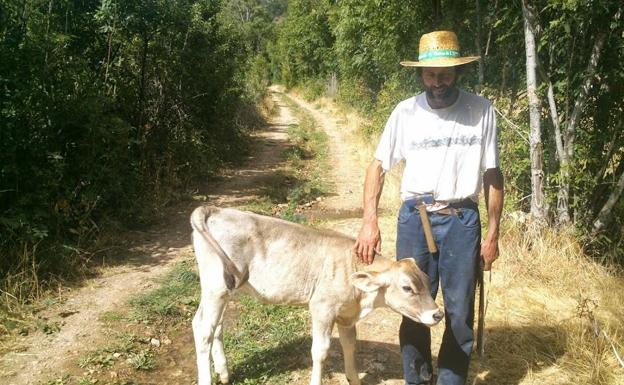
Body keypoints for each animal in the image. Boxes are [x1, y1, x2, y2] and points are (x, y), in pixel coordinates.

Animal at [191, 207, 444, 384]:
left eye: (427, 281)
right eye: (407, 288)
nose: (438, 314)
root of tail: (216, 209)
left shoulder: (346, 315)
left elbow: (350, 345)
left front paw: (353, 378)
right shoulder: (322, 308)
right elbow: (320, 352)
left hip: (225, 289)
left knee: (213, 325)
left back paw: (224, 373)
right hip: (215, 287)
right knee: (204, 329)